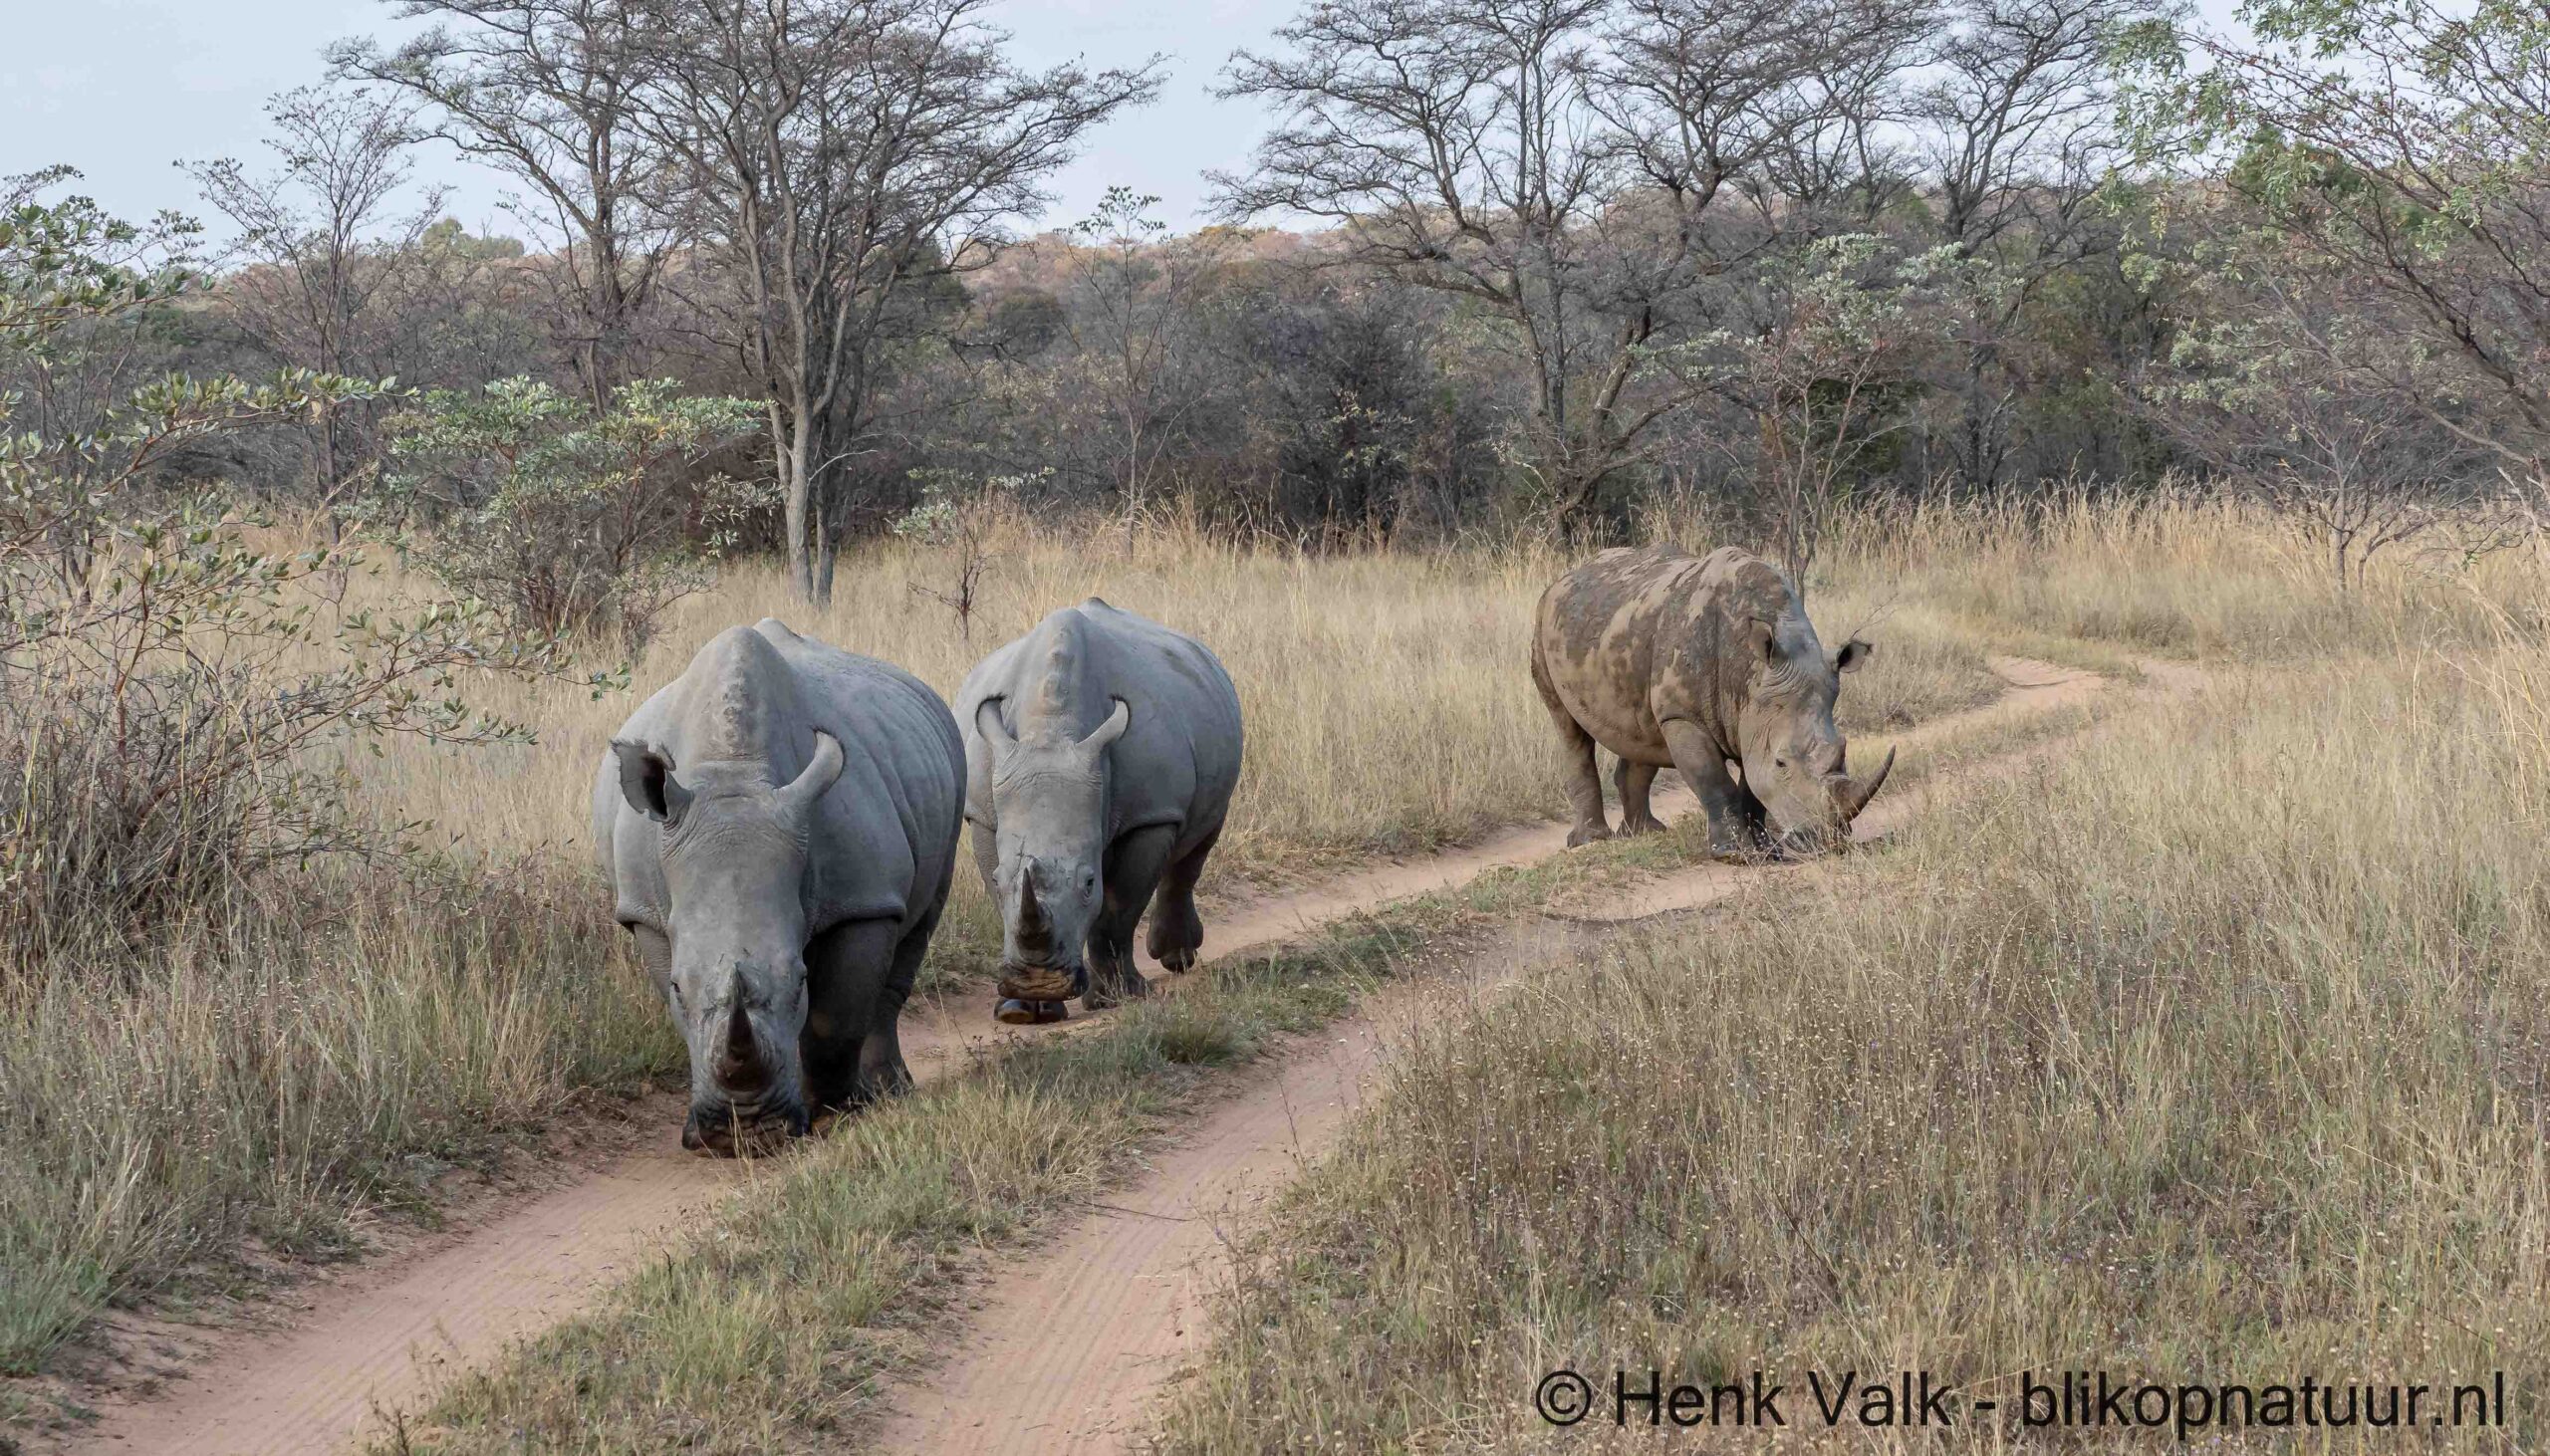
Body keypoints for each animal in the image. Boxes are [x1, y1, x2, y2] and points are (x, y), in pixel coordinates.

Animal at [593, 619, 965, 1155]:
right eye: (679, 986)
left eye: (801, 980)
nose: (746, 1133)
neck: (734, 774)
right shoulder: (645, 911)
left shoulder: (863, 899)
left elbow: (835, 1018)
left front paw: (835, 1110)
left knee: (918, 927)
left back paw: (889, 1092)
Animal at [956, 599, 1243, 1025]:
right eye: (998, 878)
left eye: (1089, 883)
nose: (1039, 983)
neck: (1052, 732)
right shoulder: (982, 814)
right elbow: (1002, 897)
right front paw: (1020, 1010)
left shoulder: (1151, 814)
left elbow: (1119, 907)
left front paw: (1118, 998)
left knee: (1197, 846)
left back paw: (1176, 960)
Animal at [1530, 545, 1892, 857]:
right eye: (1781, 763)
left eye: (1842, 752)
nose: (1827, 840)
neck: (1751, 671)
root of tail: (1562, 580)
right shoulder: (1685, 714)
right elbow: (1714, 779)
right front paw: (1733, 853)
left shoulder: (1755, 716)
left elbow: (1753, 785)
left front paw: (1766, 849)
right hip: (1542, 622)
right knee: (1568, 728)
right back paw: (1591, 840)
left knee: (1643, 730)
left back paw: (1644, 832)